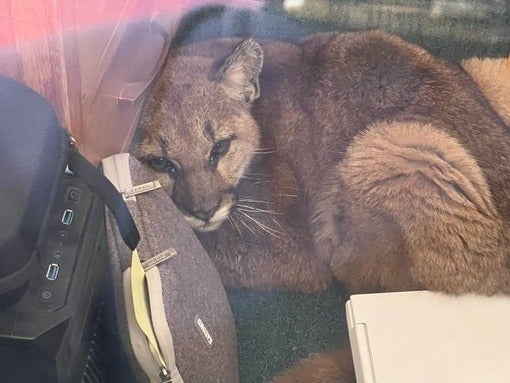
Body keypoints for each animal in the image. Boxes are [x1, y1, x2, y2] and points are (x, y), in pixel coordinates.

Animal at [132, 31, 510, 382]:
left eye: (220, 148)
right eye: (160, 163)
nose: (204, 211)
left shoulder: (295, 251)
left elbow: (214, 252)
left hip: (396, 145)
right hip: (487, 68)